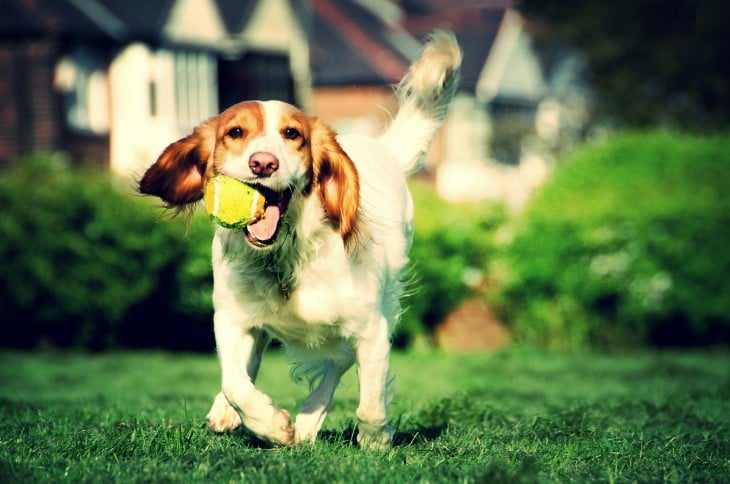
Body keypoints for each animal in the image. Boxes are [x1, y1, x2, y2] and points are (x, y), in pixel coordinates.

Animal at [139, 30, 458, 450]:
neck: (285, 257)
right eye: (235, 132)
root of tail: (383, 150)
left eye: (292, 134)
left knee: (338, 364)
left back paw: (309, 421)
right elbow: (235, 381)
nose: (263, 163)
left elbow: (370, 400)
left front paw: (374, 440)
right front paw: (270, 424)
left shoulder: (371, 328)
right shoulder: (231, 317)